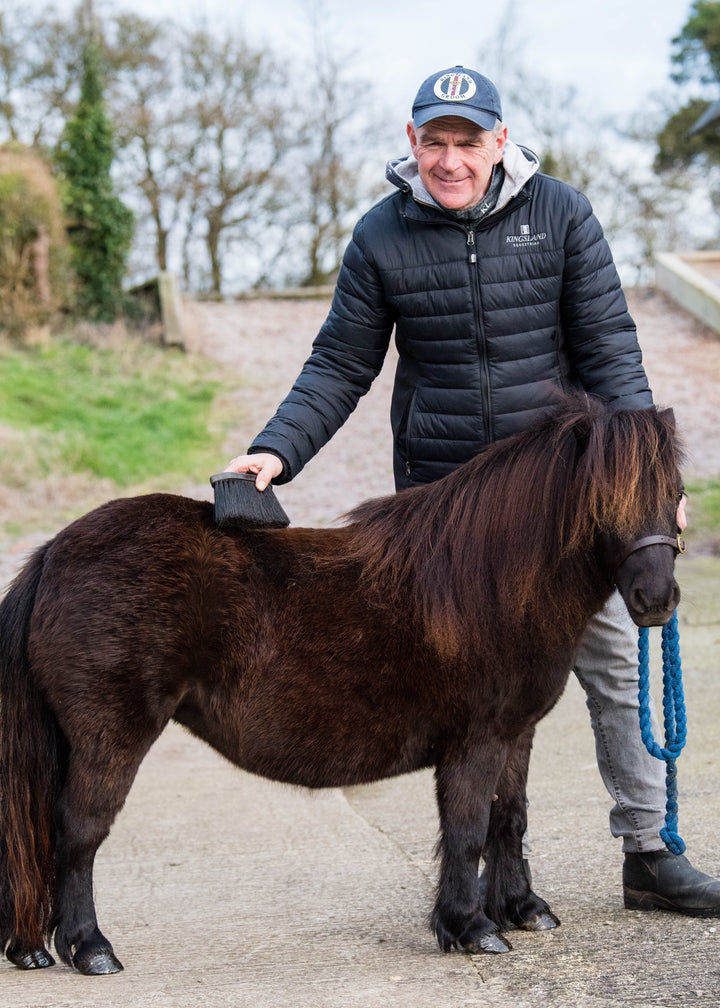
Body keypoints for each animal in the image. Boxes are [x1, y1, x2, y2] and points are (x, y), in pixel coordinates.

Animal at [0, 395, 685, 975]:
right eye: (603, 501)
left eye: (674, 492)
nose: (655, 601)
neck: (489, 584)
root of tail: (54, 552)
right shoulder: (475, 743)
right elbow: (466, 830)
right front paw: (470, 928)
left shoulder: (514, 735)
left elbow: (507, 820)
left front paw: (521, 909)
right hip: (110, 738)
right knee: (77, 834)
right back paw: (90, 948)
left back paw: (33, 947)